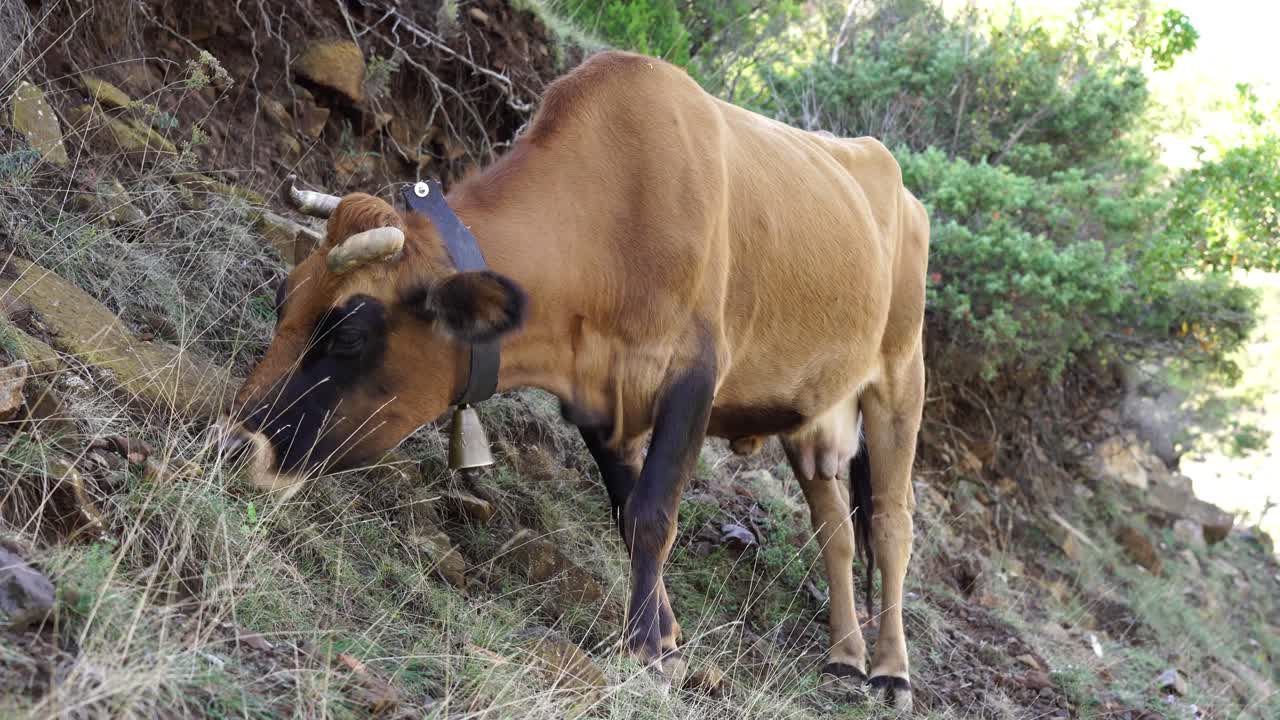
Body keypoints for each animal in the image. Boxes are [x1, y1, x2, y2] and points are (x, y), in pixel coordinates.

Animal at [217, 49, 928, 709]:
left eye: (348, 333)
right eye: (284, 299)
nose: (232, 443)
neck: (611, 220)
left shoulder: (693, 377)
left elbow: (653, 513)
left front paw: (647, 651)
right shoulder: (596, 401)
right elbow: (627, 511)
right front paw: (663, 635)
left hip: (900, 376)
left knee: (891, 525)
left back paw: (891, 671)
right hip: (812, 416)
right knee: (836, 530)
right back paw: (844, 656)